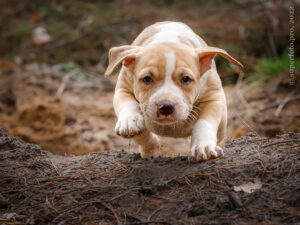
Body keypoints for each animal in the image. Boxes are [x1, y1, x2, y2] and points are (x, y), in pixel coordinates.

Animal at [104, 22, 243, 161]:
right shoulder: (123, 88)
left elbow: (204, 123)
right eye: (147, 79)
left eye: (186, 79)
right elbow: (128, 106)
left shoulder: (213, 98)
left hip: (222, 124)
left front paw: (203, 146)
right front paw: (130, 122)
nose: (166, 106)